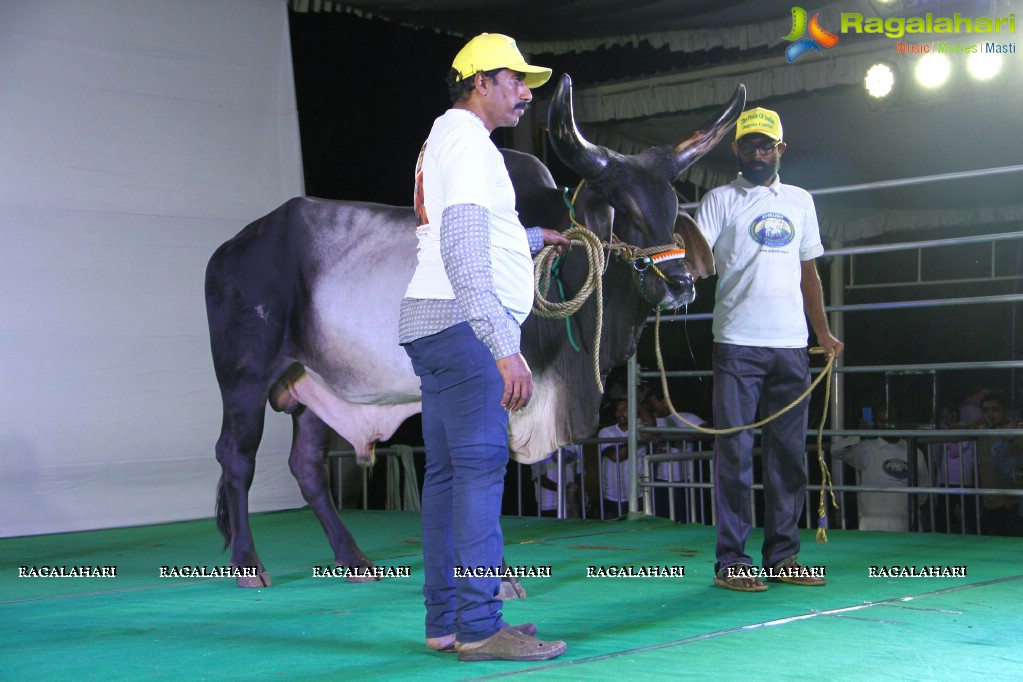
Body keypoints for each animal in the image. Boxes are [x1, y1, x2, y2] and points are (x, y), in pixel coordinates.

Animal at [203, 74, 744, 588]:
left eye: (672, 209)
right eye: (626, 210)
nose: (680, 284)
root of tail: (231, 248)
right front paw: (498, 578)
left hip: (316, 383)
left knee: (308, 465)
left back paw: (352, 558)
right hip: (245, 377)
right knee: (236, 456)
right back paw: (248, 564)